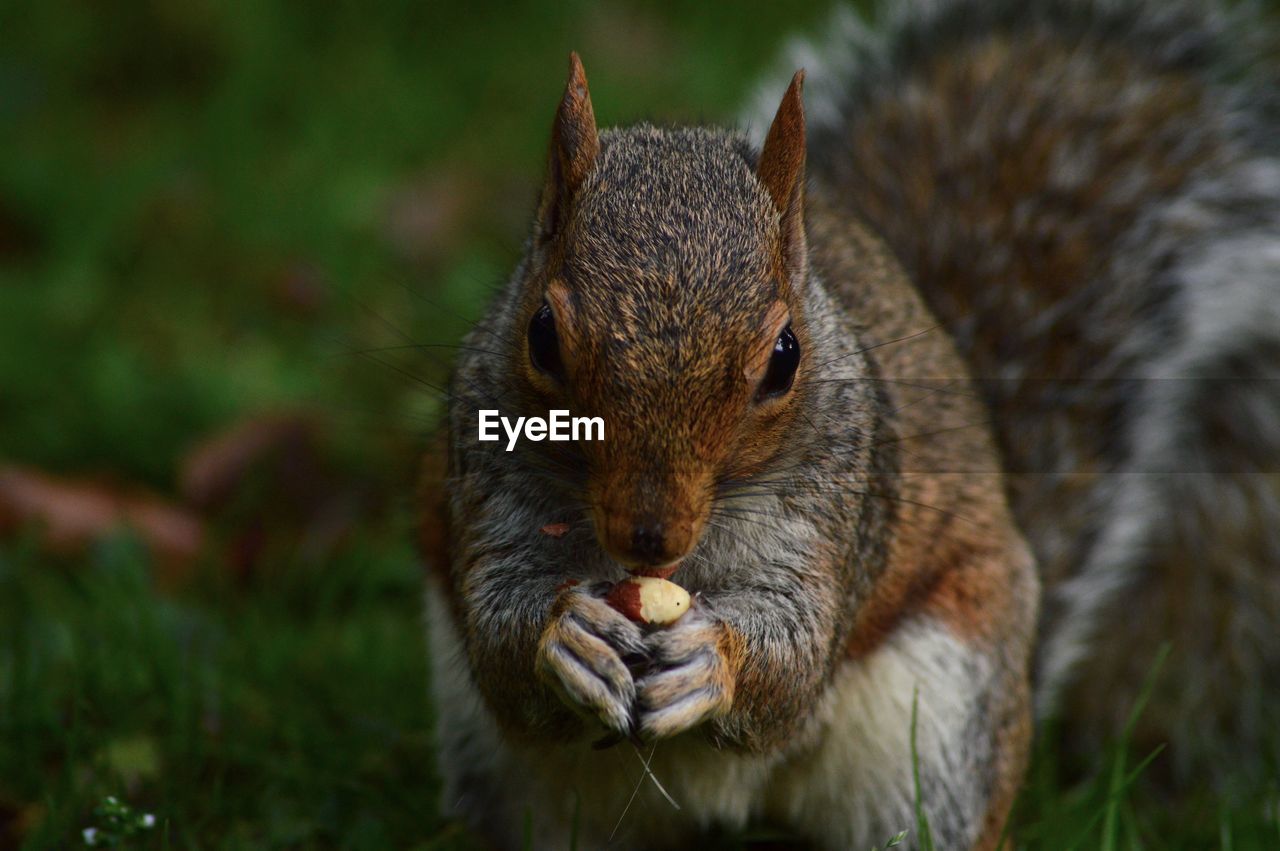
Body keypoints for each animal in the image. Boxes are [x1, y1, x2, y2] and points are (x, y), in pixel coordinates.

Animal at [417, 3, 1280, 844]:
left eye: (784, 357)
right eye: (541, 335)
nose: (649, 535)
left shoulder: (841, 509)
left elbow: (797, 659)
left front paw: (714, 658)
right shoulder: (487, 474)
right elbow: (498, 632)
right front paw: (567, 634)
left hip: (944, 723)